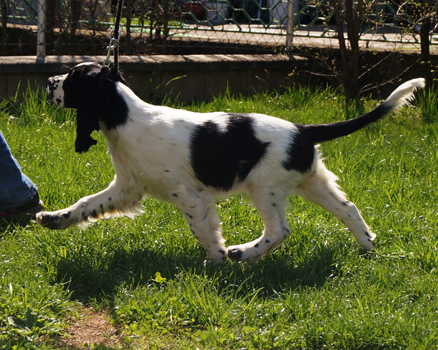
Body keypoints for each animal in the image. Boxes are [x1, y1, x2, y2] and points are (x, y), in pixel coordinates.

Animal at [40, 61, 424, 262]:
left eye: (71, 78)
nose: (48, 81)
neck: (127, 117)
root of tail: (303, 130)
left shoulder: (189, 194)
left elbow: (202, 229)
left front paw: (217, 259)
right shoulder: (127, 187)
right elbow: (86, 204)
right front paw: (54, 218)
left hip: (264, 186)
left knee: (279, 230)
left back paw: (244, 253)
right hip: (311, 181)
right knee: (348, 209)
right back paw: (367, 246)